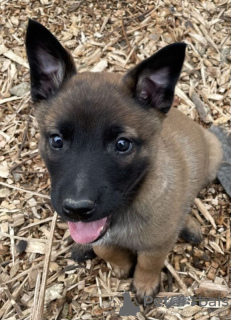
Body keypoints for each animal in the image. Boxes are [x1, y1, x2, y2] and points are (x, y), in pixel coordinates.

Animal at [24, 19, 222, 302]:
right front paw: (119, 264)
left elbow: (149, 262)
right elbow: (105, 248)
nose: (77, 209)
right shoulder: (98, 233)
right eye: (57, 140)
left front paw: (144, 283)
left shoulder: (156, 245)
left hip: (214, 156)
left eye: (122, 145)